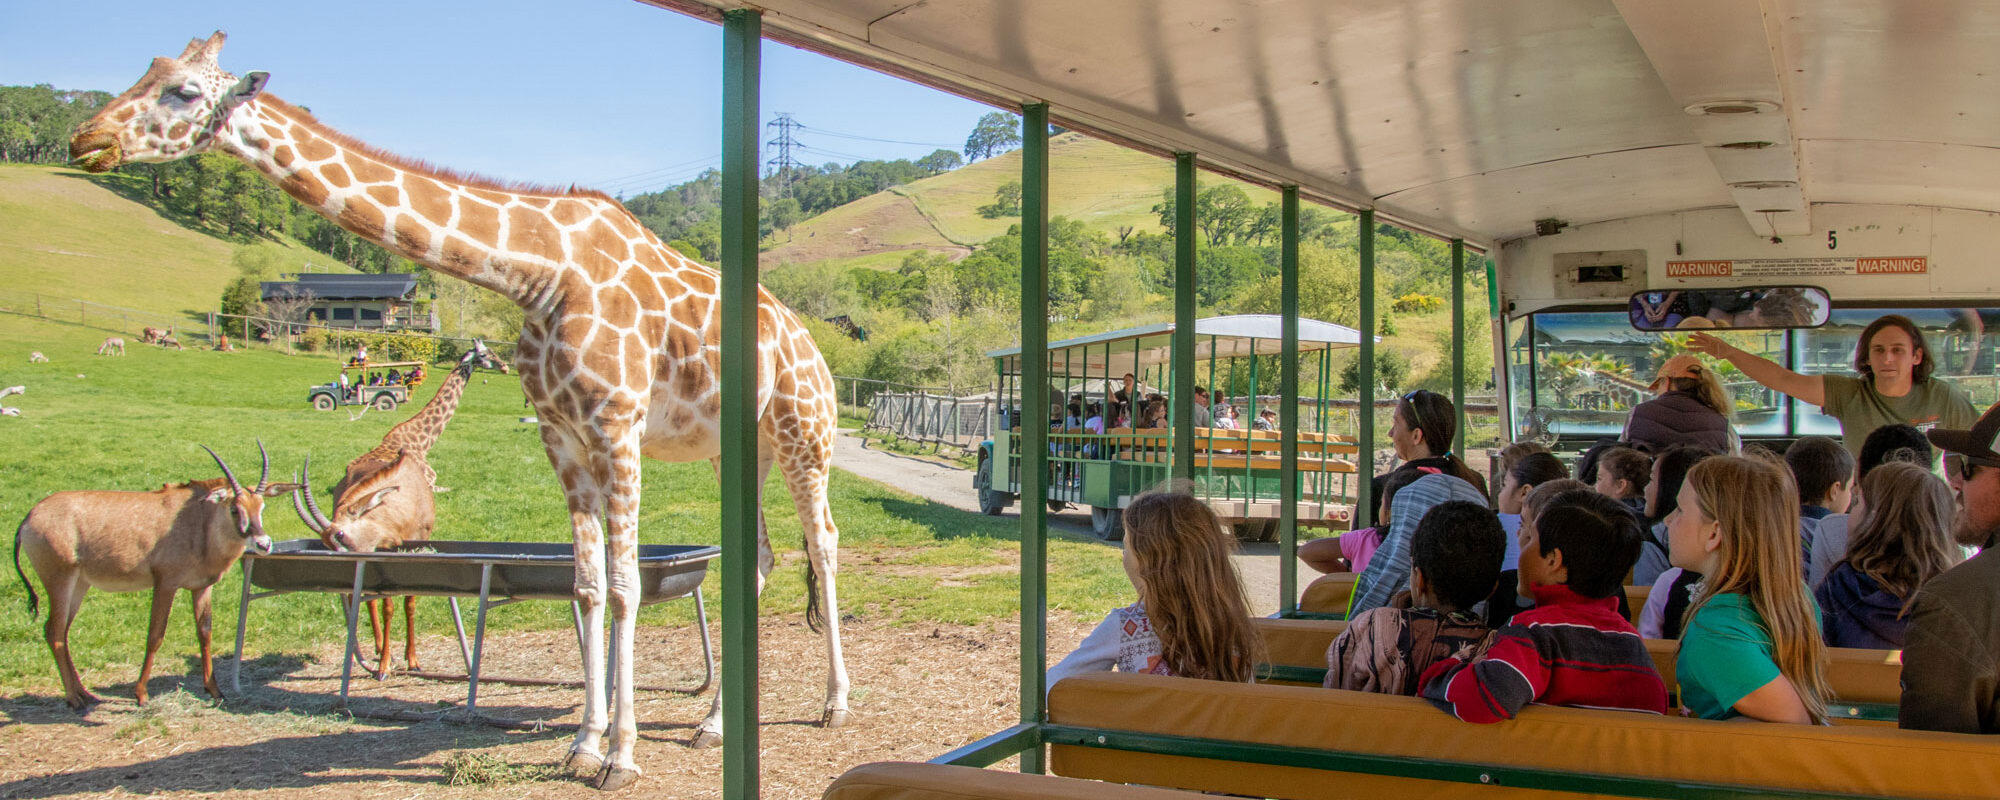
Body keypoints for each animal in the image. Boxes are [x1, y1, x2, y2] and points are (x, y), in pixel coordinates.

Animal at [12, 444, 299, 709]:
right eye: (234, 509)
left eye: (261, 506)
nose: (263, 544)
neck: (199, 521)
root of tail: (29, 516)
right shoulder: (165, 583)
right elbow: (155, 634)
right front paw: (141, 694)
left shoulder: (201, 587)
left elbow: (204, 632)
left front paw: (215, 690)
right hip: (60, 580)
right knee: (54, 631)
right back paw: (73, 698)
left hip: (79, 585)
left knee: (63, 632)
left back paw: (85, 694)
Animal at [294, 342, 499, 679]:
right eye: (486, 354)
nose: (505, 365)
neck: (419, 441)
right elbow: (389, 602)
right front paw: (387, 663)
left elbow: (410, 600)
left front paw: (411, 659)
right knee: (372, 599)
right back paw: (379, 651)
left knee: (370, 598)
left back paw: (379, 648)